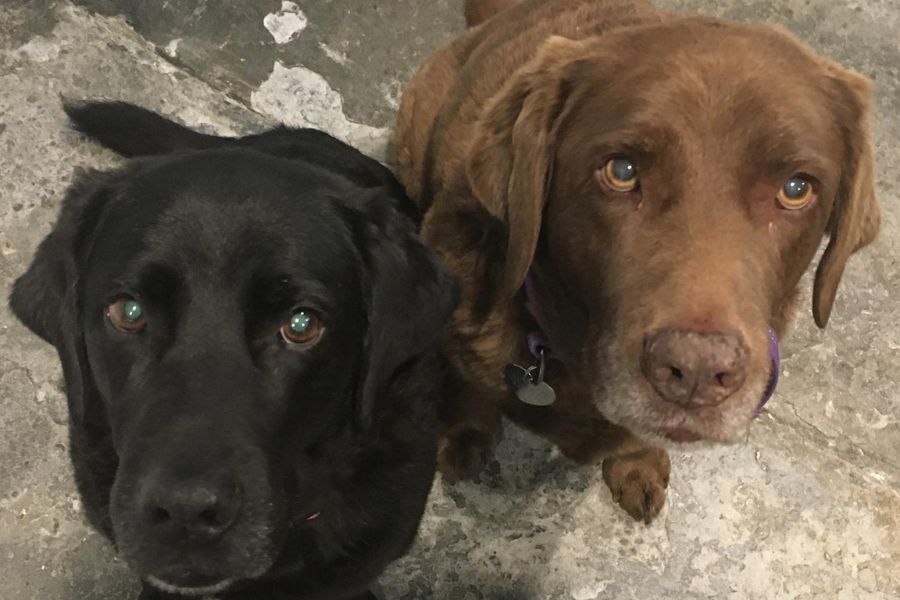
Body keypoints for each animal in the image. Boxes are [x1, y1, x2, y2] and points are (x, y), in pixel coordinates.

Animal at [394, 0, 880, 524]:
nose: (696, 371)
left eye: (796, 189)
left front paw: (636, 462)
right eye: (621, 171)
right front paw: (464, 433)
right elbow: (470, 388)